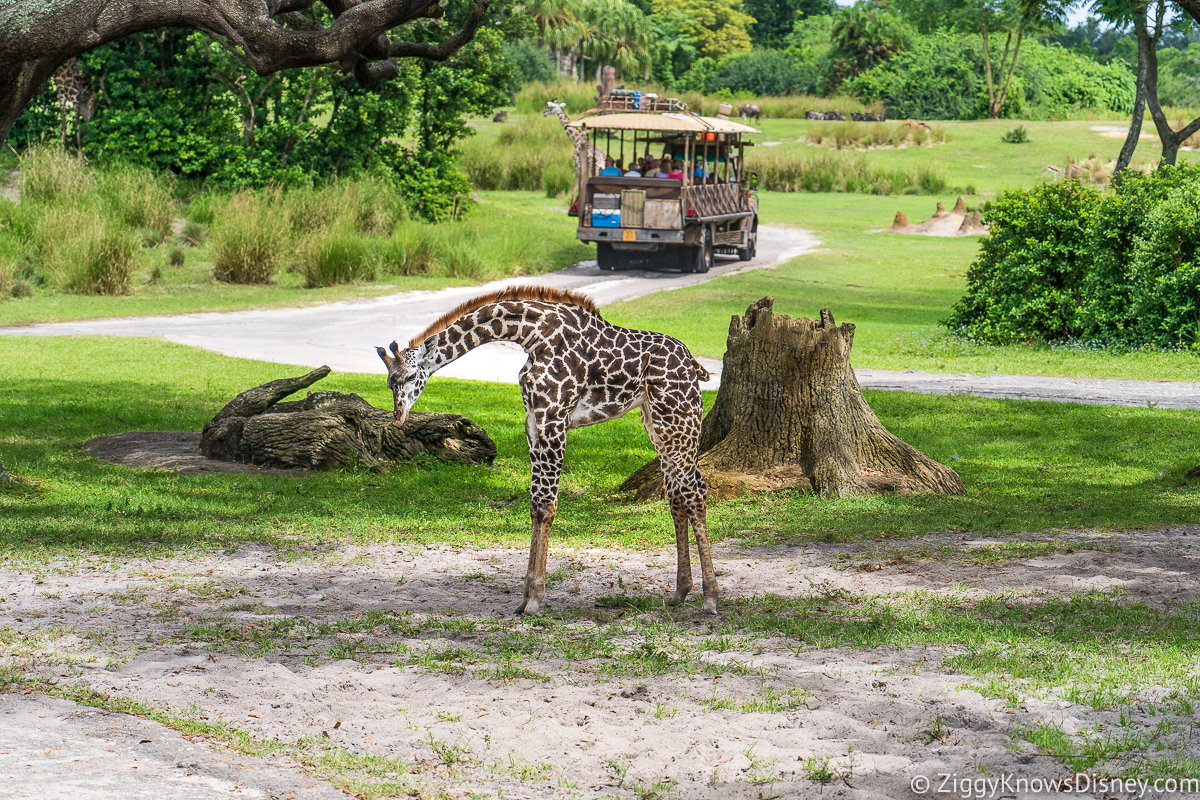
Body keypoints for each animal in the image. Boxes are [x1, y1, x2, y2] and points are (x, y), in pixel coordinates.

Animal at [374, 286, 715, 614]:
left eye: (409, 376)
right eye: (389, 383)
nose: (399, 416)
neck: (532, 336)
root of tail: (693, 365)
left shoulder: (555, 419)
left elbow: (547, 505)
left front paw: (536, 599)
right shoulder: (533, 423)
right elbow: (535, 504)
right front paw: (524, 599)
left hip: (679, 419)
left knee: (695, 492)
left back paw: (710, 598)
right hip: (656, 423)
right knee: (676, 496)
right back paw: (680, 593)